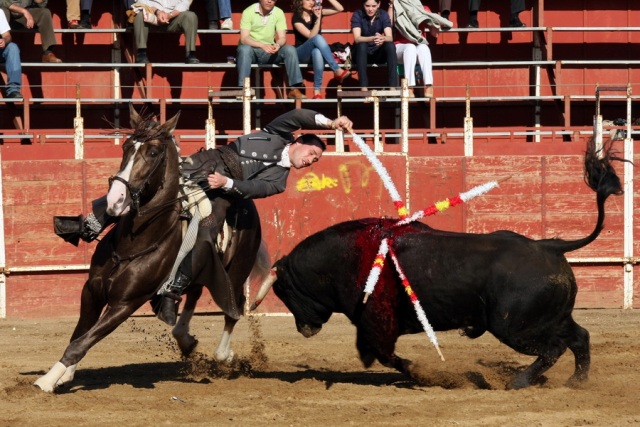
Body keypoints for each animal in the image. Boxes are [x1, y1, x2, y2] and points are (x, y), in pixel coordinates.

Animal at [31, 105, 262, 392]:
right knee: (193, 294)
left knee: (234, 309)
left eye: (152, 153)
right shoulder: (91, 291)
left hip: (237, 271)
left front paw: (48, 380)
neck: (133, 243)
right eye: (126, 147)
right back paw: (185, 338)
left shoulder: (125, 303)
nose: (116, 200)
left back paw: (224, 355)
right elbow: (80, 334)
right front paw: (64, 374)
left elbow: (81, 342)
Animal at [255, 139, 624, 390]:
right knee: (579, 336)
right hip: (551, 317)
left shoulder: (376, 323)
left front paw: (423, 374)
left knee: (554, 346)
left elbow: (386, 355)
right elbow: (376, 353)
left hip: (514, 326)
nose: (304, 329)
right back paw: (576, 381)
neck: (343, 258)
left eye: (285, 292)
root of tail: (549, 245)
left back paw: (517, 382)